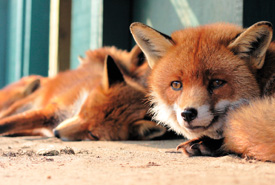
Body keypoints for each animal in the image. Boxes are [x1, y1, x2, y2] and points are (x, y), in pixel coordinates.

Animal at [0, 46, 166, 140]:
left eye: (92, 135)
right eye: (83, 111)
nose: (56, 133)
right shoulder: (50, 111)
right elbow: (8, 122)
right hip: (23, 102)